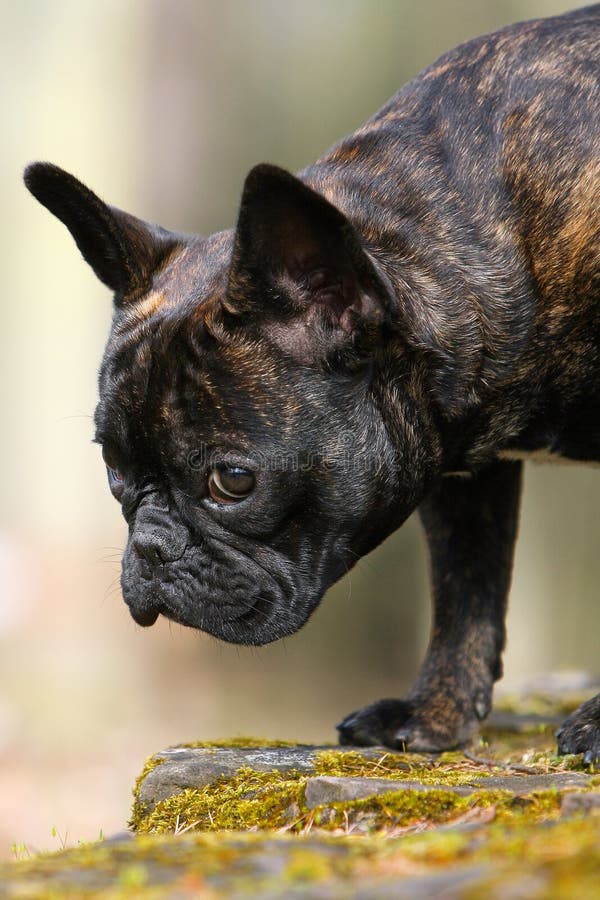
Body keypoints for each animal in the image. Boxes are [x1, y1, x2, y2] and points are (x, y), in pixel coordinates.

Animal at [23, 5, 600, 760]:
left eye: (233, 481)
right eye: (112, 469)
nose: (149, 547)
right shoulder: (462, 469)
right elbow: (466, 589)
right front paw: (434, 715)